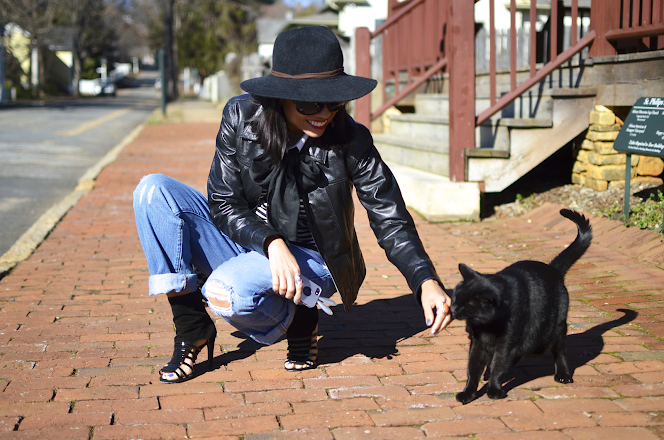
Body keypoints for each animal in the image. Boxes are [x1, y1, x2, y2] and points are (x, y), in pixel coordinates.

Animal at [452, 208, 592, 404]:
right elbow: (473, 369)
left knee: (559, 351)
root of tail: (553, 269)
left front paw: (494, 389)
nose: (452, 309)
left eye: (465, 305)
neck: (488, 326)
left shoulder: (506, 344)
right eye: (454, 298)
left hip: (554, 329)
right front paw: (468, 392)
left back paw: (563, 374)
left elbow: (498, 366)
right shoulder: (478, 344)